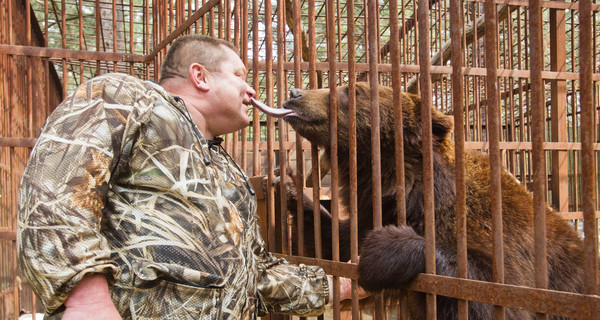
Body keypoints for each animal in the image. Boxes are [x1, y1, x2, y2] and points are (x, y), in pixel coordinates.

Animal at [252, 81, 584, 318]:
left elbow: (490, 294)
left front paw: (380, 251)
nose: (294, 92)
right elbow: (331, 243)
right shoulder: (374, 210)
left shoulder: (495, 234)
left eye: (350, 90)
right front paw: (287, 184)